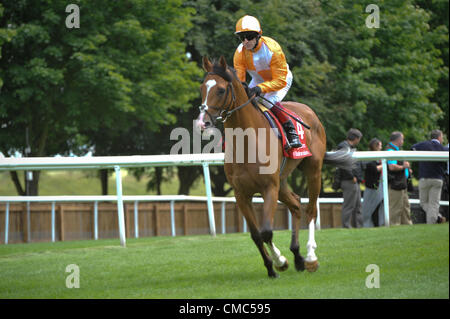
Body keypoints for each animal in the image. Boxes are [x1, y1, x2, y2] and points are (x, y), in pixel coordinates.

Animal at [195, 56, 354, 278]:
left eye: (220, 90)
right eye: (202, 88)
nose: (202, 123)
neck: (248, 142)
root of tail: (310, 112)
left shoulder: (269, 187)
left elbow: (267, 231)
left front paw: (280, 262)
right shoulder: (241, 194)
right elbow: (256, 234)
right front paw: (272, 267)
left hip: (313, 171)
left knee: (311, 210)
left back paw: (310, 258)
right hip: (283, 179)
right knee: (295, 203)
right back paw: (298, 257)